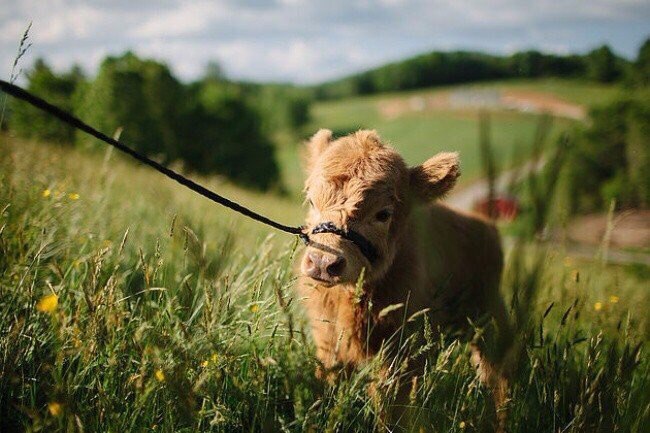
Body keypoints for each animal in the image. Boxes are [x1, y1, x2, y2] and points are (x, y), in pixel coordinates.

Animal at [294, 128, 512, 428]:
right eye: (311, 200)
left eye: (383, 214)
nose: (323, 263)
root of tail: (486, 226)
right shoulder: (329, 342)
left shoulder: (401, 355)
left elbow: (391, 409)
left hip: (490, 325)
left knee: (498, 381)